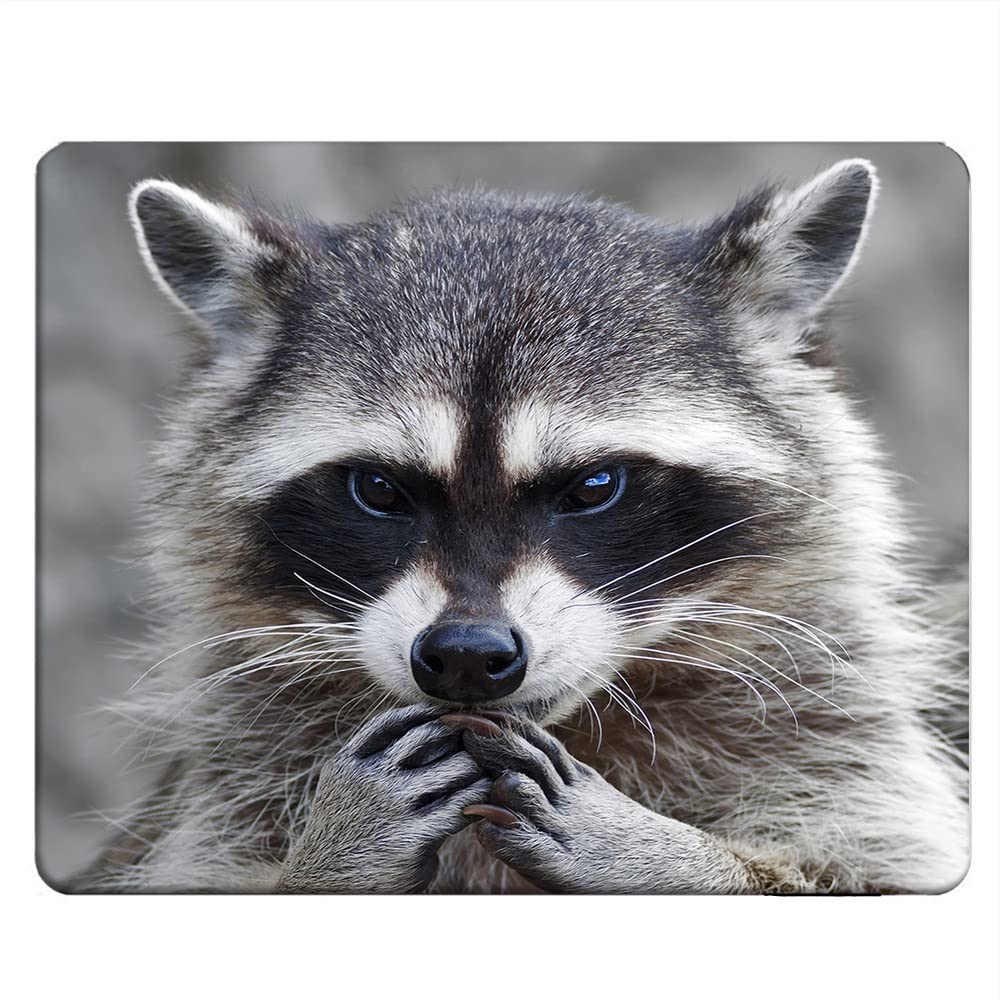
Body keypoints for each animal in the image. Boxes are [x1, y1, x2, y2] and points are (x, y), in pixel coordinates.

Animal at [79, 159, 968, 893]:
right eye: (378, 490)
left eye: (595, 487)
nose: (468, 656)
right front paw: (333, 851)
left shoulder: (836, 743)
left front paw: (667, 858)